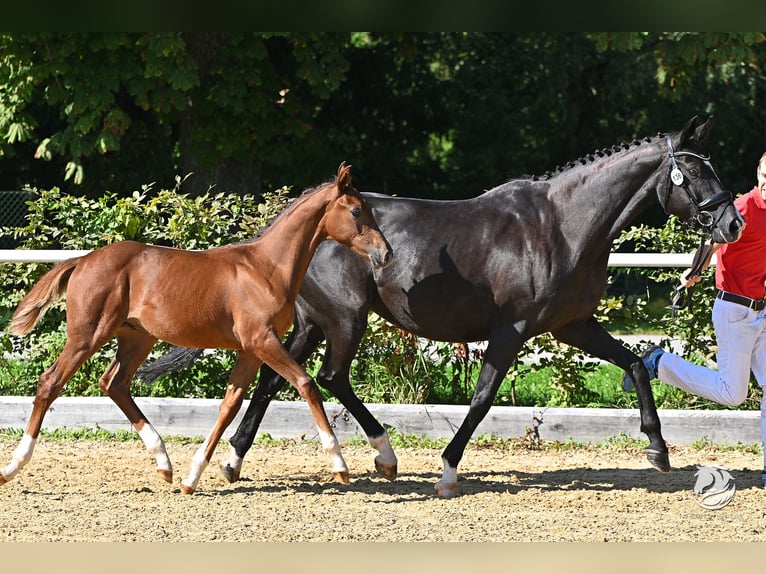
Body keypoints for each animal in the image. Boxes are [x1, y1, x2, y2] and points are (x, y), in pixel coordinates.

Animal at [1, 162, 390, 496]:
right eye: (357, 211)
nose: (385, 254)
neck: (265, 269)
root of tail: (82, 261)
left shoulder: (250, 350)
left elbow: (229, 405)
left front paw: (193, 476)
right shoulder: (262, 341)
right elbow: (307, 384)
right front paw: (340, 465)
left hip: (137, 338)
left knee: (114, 383)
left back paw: (164, 464)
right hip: (88, 334)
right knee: (50, 382)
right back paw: (13, 466)